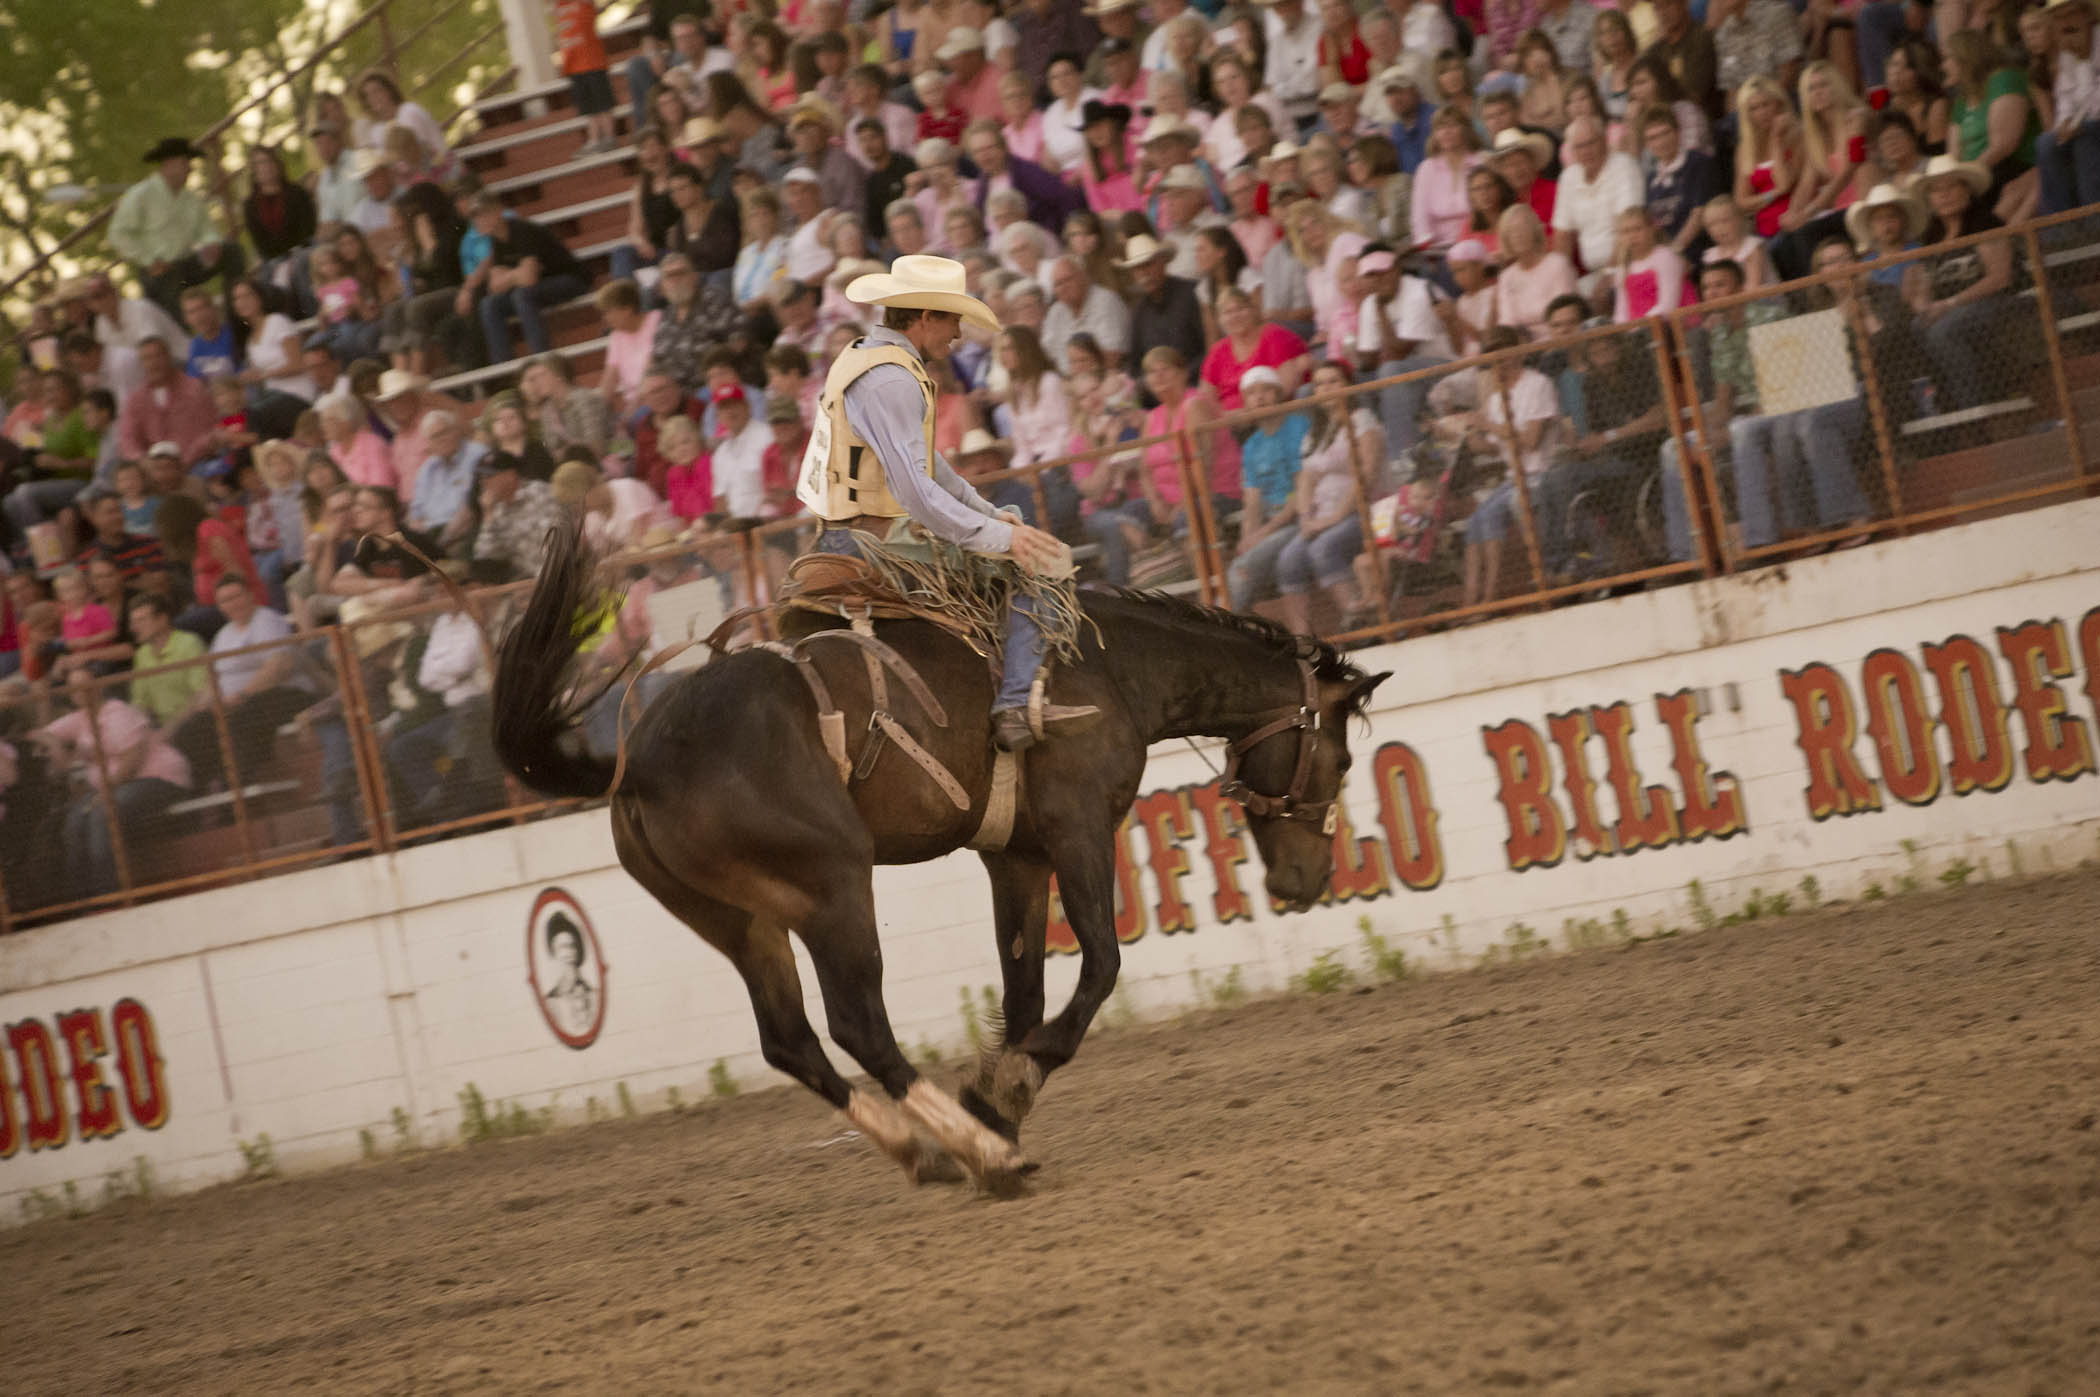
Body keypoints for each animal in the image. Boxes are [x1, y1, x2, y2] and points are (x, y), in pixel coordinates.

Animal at [487, 529, 1377, 1193]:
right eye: (1339, 760)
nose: (1306, 880)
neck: (1113, 665)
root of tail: (638, 760)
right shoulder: (1080, 828)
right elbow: (1099, 964)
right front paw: (1010, 1092)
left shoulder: (1016, 856)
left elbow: (1023, 989)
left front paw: (994, 1096)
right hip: (833, 885)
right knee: (857, 1023)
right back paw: (987, 1158)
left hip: (737, 917)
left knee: (789, 1039)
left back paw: (925, 1148)